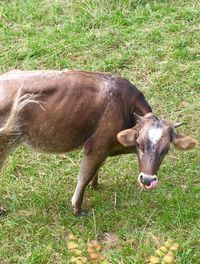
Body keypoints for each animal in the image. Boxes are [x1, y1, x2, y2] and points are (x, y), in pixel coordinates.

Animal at [0, 70, 196, 217]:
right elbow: (84, 177)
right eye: (139, 144)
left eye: (166, 150)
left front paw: (96, 186)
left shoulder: (103, 149)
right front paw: (77, 209)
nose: (147, 179)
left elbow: (96, 170)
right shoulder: (96, 146)